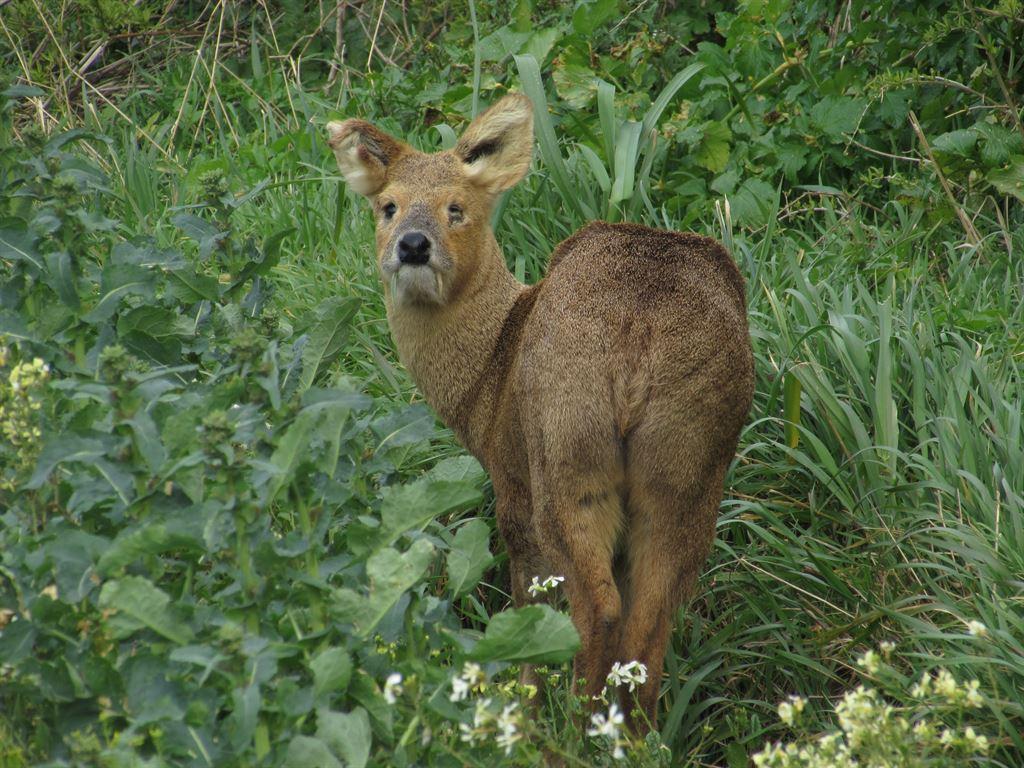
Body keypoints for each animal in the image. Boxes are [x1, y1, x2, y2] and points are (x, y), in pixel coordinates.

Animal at [326, 93, 754, 731]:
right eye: (387, 206)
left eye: (457, 207)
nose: (412, 245)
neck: (489, 379)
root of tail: (640, 335)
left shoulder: (512, 491)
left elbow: (525, 603)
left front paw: (522, 704)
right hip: (688, 469)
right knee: (648, 620)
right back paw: (634, 735)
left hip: (566, 457)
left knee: (598, 608)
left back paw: (569, 728)